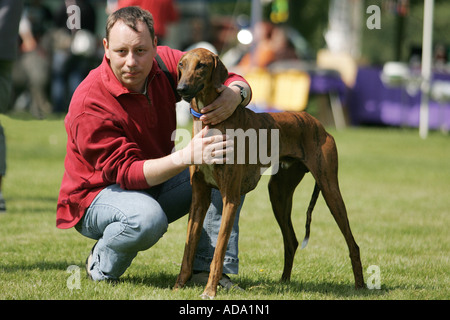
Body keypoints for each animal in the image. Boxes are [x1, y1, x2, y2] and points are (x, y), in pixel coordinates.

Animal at [174, 47, 364, 298]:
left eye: (202, 65)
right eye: (182, 64)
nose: (181, 88)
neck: (212, 124)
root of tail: (317, 123)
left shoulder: (230, 199)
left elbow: (218, 252)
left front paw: (210, 291)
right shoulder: (199, 198)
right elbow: (188, 250)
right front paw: (178, 287)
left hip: (329, 189)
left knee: (353, 243)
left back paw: (361, 286)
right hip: (278, 194)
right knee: (291, 241)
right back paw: (284, 282)